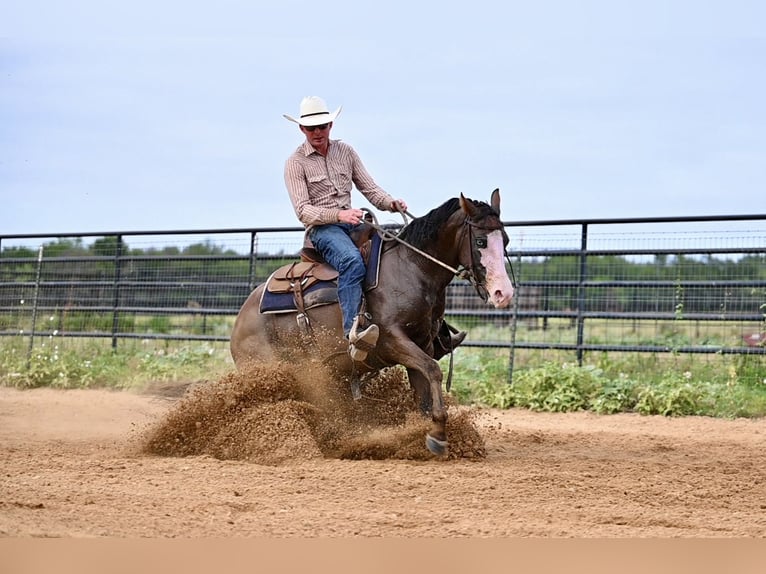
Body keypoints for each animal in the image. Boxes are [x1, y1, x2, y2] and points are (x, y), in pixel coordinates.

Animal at [228, 191, 516, 456]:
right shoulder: (391, 341)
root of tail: (241, 317)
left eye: (506, 240)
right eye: (480, 241)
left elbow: (422, 389)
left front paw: (428, 435)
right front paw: (438, 435)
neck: (411, 269)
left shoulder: (421, 343)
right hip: (268, 367)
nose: (503, 293)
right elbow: (433, 370)